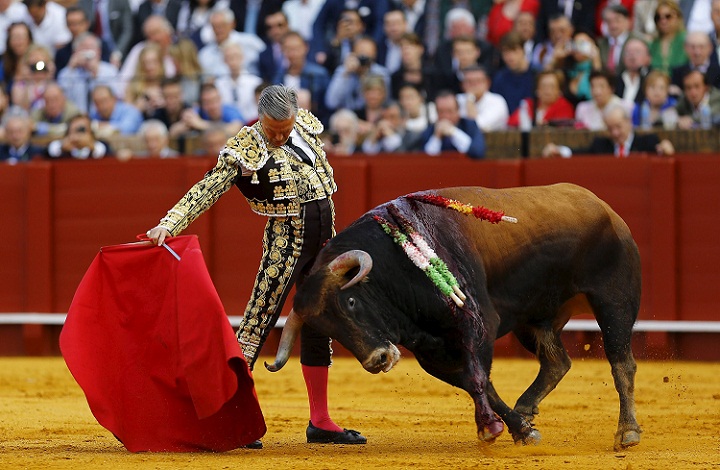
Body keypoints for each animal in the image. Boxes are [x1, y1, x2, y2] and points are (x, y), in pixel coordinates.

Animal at [266, 184, 640, 452]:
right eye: (328, 328)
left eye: (352, 301)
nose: (378, 360)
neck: (399, 267)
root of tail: (604, 207)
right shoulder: (432, 352)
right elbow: (479, 383)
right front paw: (519, 428)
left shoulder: (477, 323)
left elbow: (477, 378)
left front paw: (492, 428)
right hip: (535, 319)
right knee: (557, 362)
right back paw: (526, 407)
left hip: (614, 300)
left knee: (621, 362)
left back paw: (628, 432)